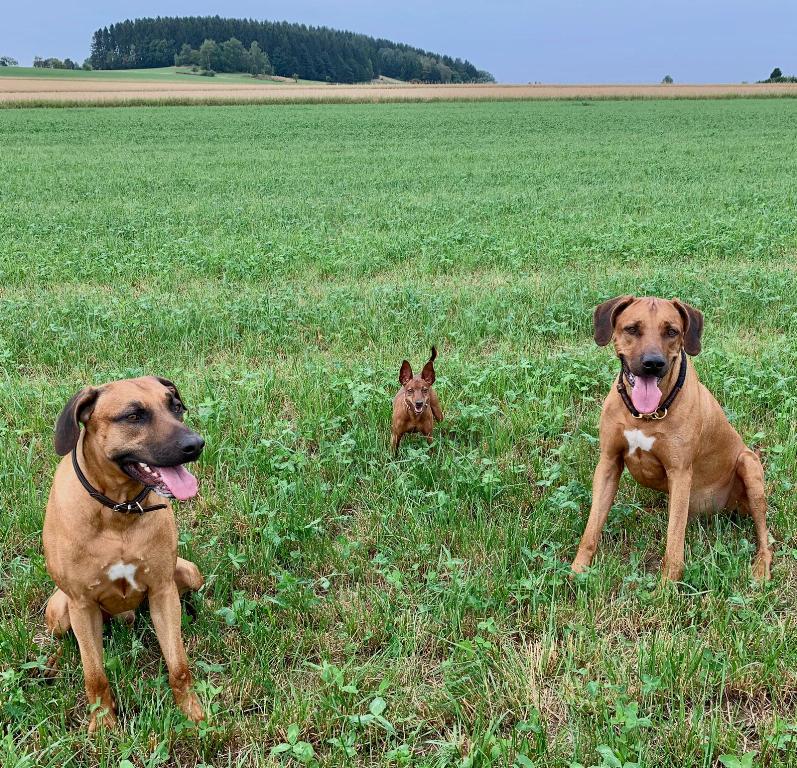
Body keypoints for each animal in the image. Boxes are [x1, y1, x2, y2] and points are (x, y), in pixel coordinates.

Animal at [43, 376, 206, 731]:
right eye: (133, 416)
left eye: (176, 407)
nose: (196, 444)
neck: (119, 509)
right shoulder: (81, 604)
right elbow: (95, 676)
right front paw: (104, 726)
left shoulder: (162, 590)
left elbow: (178, 666)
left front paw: (192, 713)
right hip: (59, 611)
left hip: (188, 573)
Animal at [571, 296, 771, 582]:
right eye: (632, 329)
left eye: (672, 331)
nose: (653, 363)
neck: (645, 415)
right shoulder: (608, 463)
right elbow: (591, 527)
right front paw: (577, 570)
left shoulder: (680, 473)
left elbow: (674, 542)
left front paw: (666, 585)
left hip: (749, 465)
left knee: (765, 534)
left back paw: (761, 567)